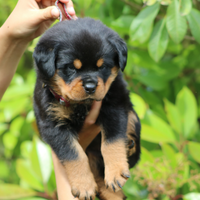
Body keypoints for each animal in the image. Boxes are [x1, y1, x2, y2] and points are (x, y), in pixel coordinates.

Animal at [33, 17, 141, 200]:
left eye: (102, 67)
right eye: (71, 67)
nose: (90, 87)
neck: (81, 105)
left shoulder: (115, 105)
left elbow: (111, 141)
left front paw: (116, 172)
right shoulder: (52, 124)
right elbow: (73, 155)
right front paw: (84, 186)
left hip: (132, 115)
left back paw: (129, 146)